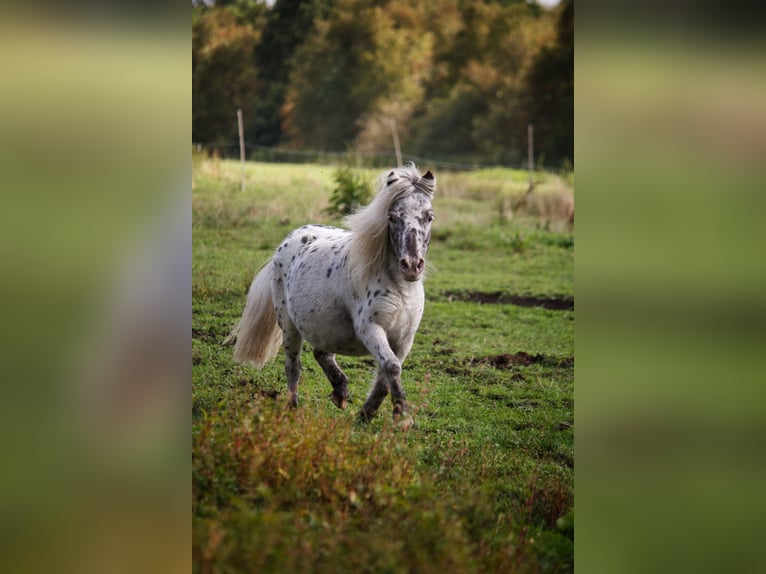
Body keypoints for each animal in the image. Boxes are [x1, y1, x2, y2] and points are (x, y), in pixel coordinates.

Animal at [226, 164, 435, 427]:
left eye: (429, 216)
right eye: (393, 217)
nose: (412, 265)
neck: (400, 288)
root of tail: (288, 240)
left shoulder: (404, 339)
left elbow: (384, 375)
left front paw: (366, 414)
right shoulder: (371, 329)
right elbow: (391, 367)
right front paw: (403, 418)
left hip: (327, 327)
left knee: (321, 352)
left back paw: (340, 392)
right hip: (289, 326)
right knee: (293, 367)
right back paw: (293, 407)